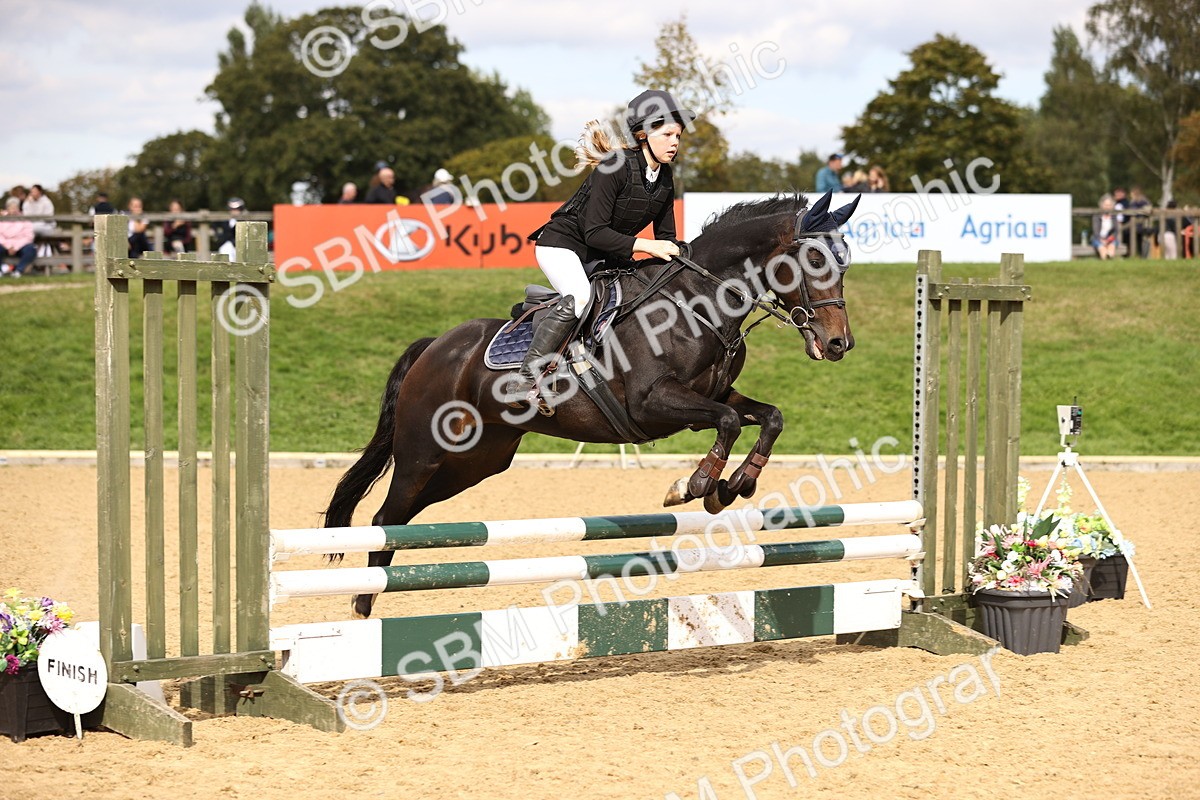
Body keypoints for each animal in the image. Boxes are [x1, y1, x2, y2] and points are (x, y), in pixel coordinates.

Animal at [324, 191, 861, 618]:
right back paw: (362, 608)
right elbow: (728, 423)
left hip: (474, 463)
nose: (839, 345)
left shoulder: (711, 396)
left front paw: (736, 485)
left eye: (845, 264)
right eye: (815, 262)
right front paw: (694, 486)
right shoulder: (653, 403)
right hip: (424, 454)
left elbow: (769, 417)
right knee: (384, 521)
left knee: (401, 521)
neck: (700, 303)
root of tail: (434, 346)